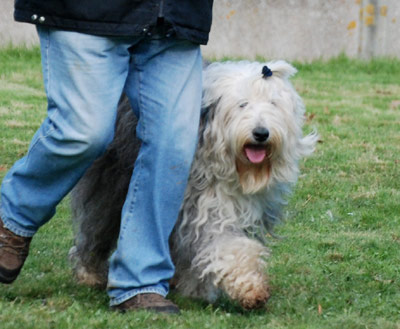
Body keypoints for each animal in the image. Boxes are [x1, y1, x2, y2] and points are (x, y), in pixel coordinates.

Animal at [69, 60, 318, 308]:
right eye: (242, 104)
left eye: (273, 104)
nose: (261, 133)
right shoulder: (205, 206)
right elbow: (225, 244)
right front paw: (248, 287)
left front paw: (195, 285)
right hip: (111, 184)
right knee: (97, 226)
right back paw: (90, 273)